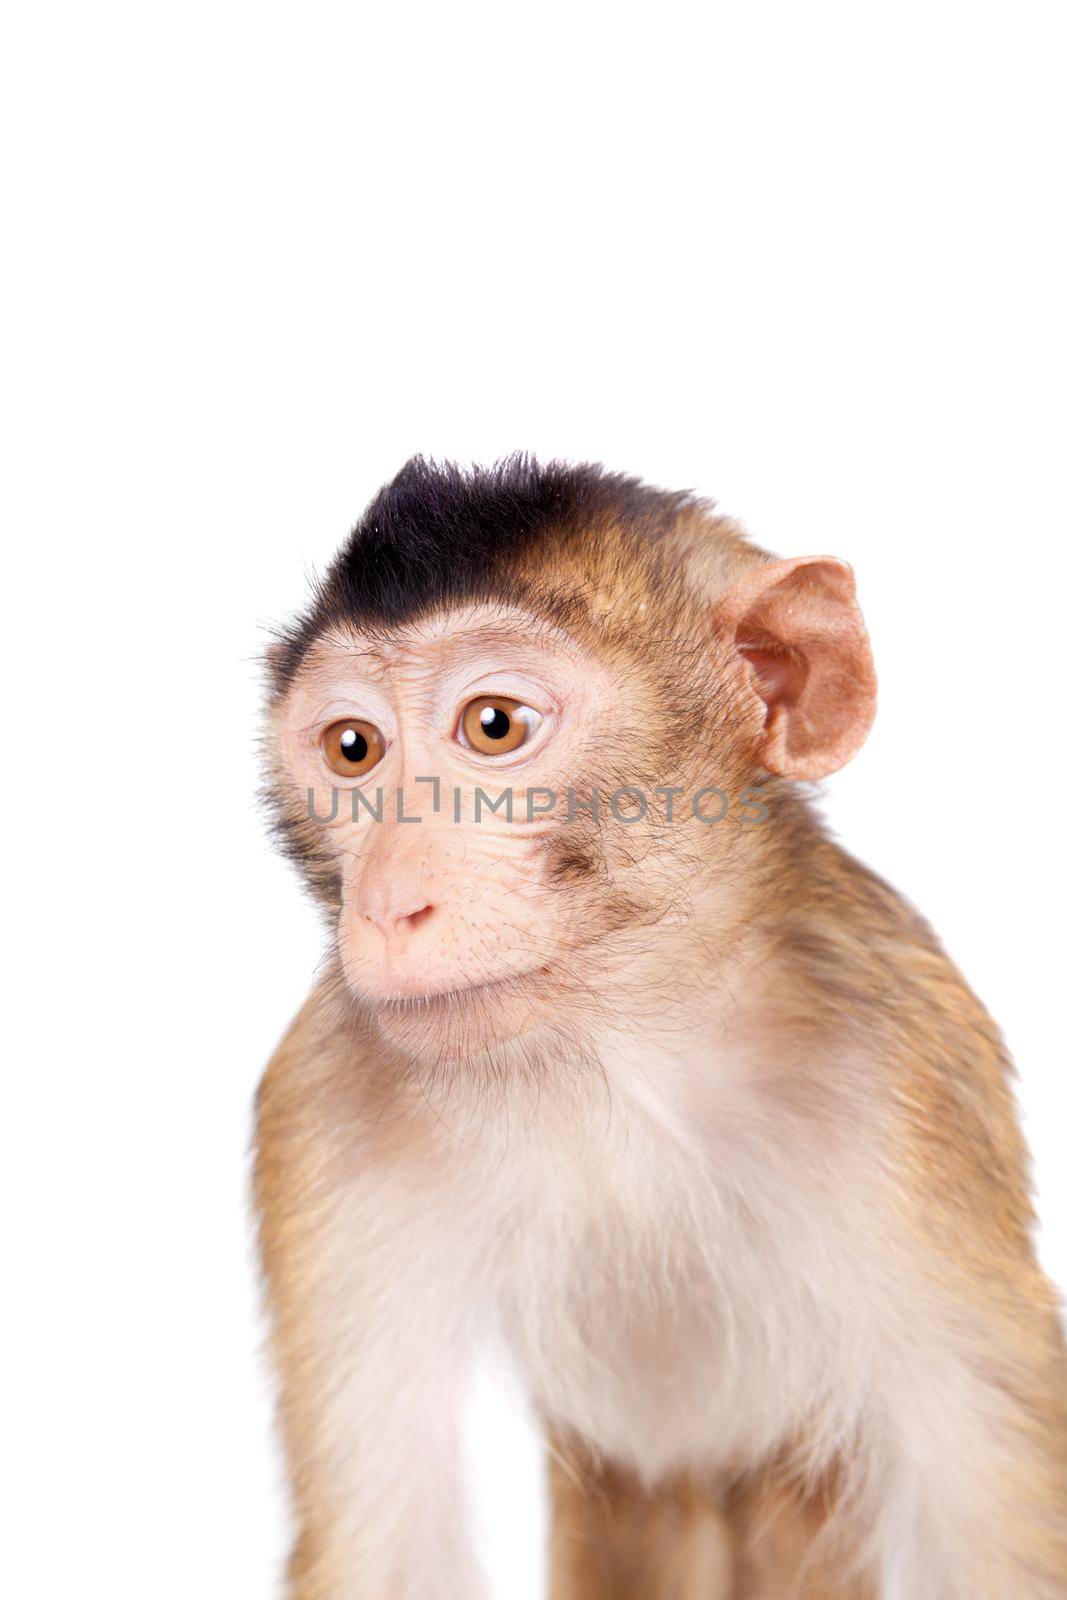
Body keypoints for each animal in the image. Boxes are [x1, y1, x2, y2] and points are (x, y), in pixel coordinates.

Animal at [252, 457, 1067, 1600]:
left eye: (493, 725)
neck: (613, 1038)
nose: (388, 904)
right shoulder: (321, 1100)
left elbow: (993, 1512)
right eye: (353, 748)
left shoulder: (900, 1078)